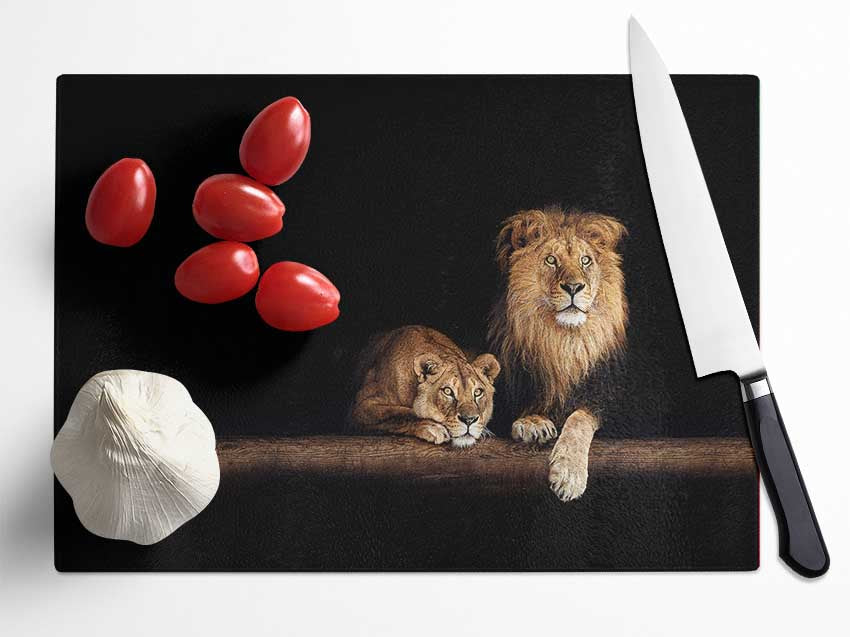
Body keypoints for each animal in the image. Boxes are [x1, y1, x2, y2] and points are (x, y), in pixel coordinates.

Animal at [352, 325, 501, 448]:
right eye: (448, 391)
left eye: (478, 392)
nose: (469, 420)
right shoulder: (360, 407)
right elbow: (399, 414)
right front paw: (432, 426)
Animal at [488, 206, 627, 501]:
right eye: (551, 260)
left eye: (586, 260)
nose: (573, 287)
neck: (563, 343)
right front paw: (533, 423)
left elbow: (580, 417)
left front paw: (569, 475)